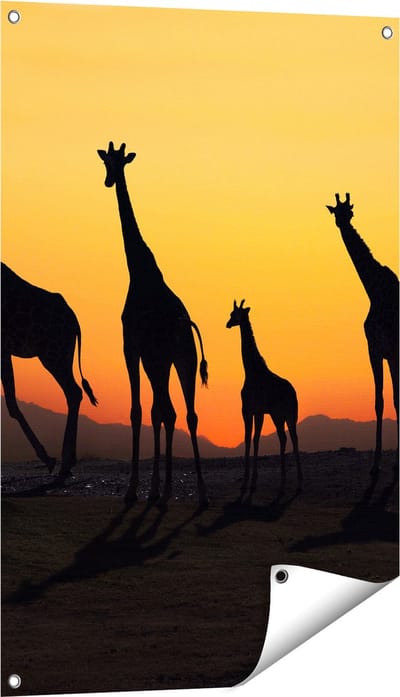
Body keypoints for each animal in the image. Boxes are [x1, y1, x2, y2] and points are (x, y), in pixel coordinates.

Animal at [1, 263, 98, 474]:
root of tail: (75, 321)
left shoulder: (3, 348)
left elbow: (11, 403)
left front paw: (47, 458)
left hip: (53, 354)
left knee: (73, 391)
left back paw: (65, 460)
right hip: (61, 354)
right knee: (73, 392)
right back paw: (69, 459)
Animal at [97, 141, 208, 506]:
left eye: (117, 162)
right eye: (107, 161)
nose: (108, 180)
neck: (137, 270)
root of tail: (182, 323)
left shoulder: (130, 347)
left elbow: (137, 411)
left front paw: (134, 489)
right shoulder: (154, 356)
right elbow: (156, 413)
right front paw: (153, 488)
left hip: (160, 359)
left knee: (168, 411)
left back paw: (165, 491)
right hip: (183, 359)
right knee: (186, 413)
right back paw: (199, 493)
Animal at [226, 299, 302, 496]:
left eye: (233, 314)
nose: (227, 324)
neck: (251, 371)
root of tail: (293, 394)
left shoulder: (246, 410)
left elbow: (247, 439)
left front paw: (246, 481)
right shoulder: (258, 412)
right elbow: (256, 439)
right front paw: (253, 479)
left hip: (277, 415)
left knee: (283, 438)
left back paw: (283, 482)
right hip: (290, 415)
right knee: (294, 438)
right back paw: (299, 481)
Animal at [327, 193, 399, 473]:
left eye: (350, 211)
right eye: (337, 211)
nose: (343, 223)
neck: (374, 291)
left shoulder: (386, 350)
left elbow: (392, 400)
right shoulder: (379, 351)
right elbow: (382, 402)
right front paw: (377, 466)